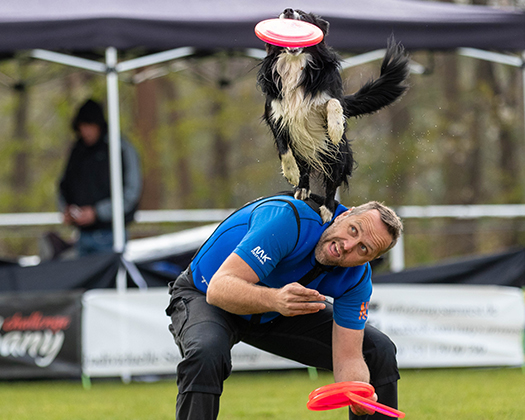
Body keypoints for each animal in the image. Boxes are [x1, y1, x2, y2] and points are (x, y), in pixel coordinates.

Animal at [256, 8, 410, 223]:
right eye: (280, 15)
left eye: (303, 15)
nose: (288, 10)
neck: (296, 64)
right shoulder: (274, 112)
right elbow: (283, 147)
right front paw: (291, 173)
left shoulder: (330, 93)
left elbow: (334, 103)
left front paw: (336, 128)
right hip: (302, 147)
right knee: (304, 166)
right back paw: (302, 188)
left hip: (337, 156)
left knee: (332, 183)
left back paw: (328, 210)